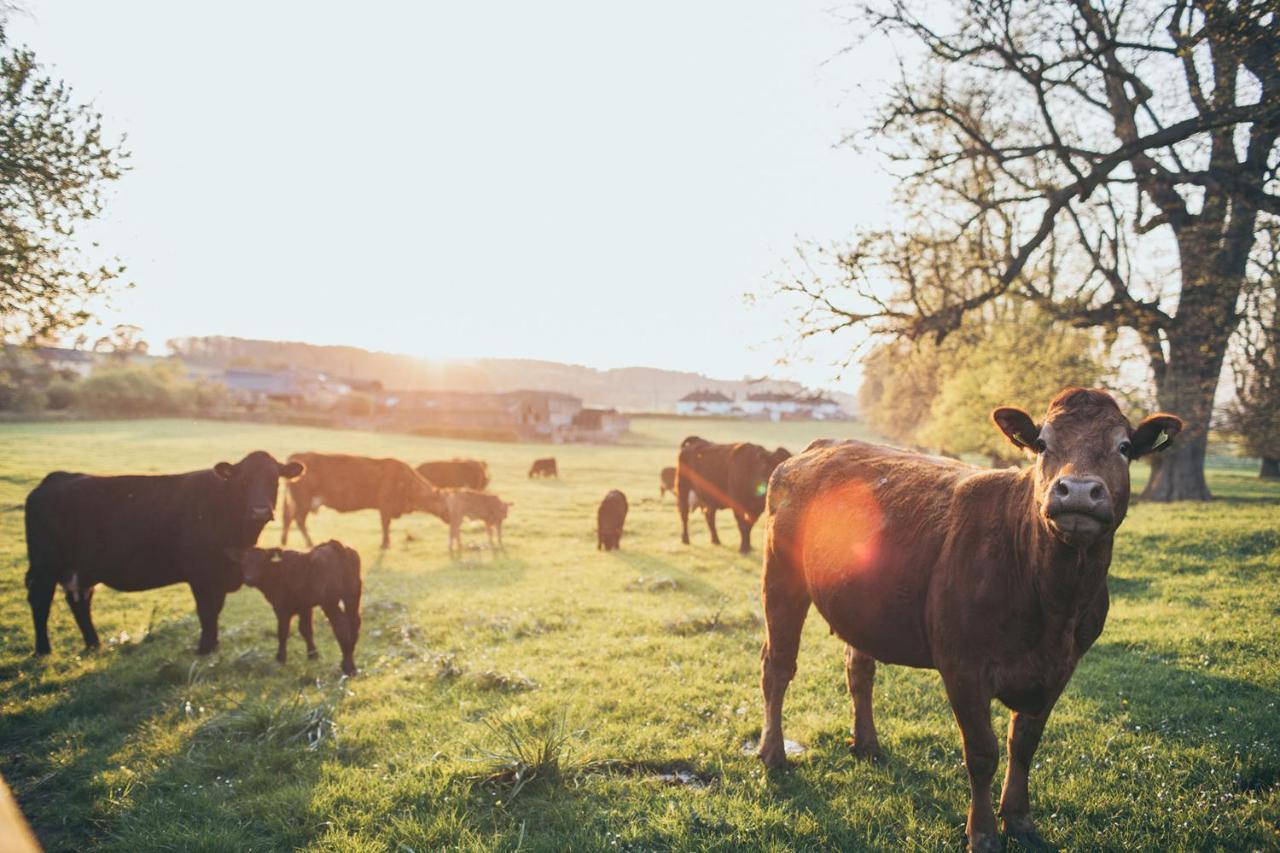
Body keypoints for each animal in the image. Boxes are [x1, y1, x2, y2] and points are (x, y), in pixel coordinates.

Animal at [23, 448, 303, 653]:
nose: (260, 510)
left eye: (274, 479)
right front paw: (205, 649)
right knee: (40, 600)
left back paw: (94, 644)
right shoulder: (202, 575)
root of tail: (57, 477)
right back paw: (43, 649)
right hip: (45, 565)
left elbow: (215, 610)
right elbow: (207, 611)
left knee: (79, 600)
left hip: (81, 569)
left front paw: (213, 645)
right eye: (243, 480)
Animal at [240, 540, 363, 676]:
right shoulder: (305, 606)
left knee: (341, 625)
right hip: (352, 594)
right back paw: (350, 661)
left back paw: (347, 666)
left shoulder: (281, 607)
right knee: (354, 621)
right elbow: (306, 629)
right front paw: (313, 656)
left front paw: (280, 658)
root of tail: (333, 544)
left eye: (261, 561)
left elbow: (282, 631)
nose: (249, 579)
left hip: (330, 602)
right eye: (244, 562)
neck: (278, 570)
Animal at [282, 448, 448, 548]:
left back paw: (285, 541)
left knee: (289, 517)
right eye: (444, 502)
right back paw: (310, 543)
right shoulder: (385, 505)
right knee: (299, 520)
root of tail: (298, 455)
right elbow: (385, 525)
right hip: (303, 500)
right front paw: (385, 544)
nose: (448, 518)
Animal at [752, 386, 1182, 850]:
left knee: (859, 669)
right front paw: (983, 832)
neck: (1053, 605)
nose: (1080, 491)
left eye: (1124, 448)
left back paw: (866, 744)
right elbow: (982, 752)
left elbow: (1023, 743)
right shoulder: (962, 666)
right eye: (1042, 444)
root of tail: (820, 447)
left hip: (861, 605)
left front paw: (1019, 818)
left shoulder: (1061, 667)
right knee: (777, 667)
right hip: (782, 579)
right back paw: (773, 754)